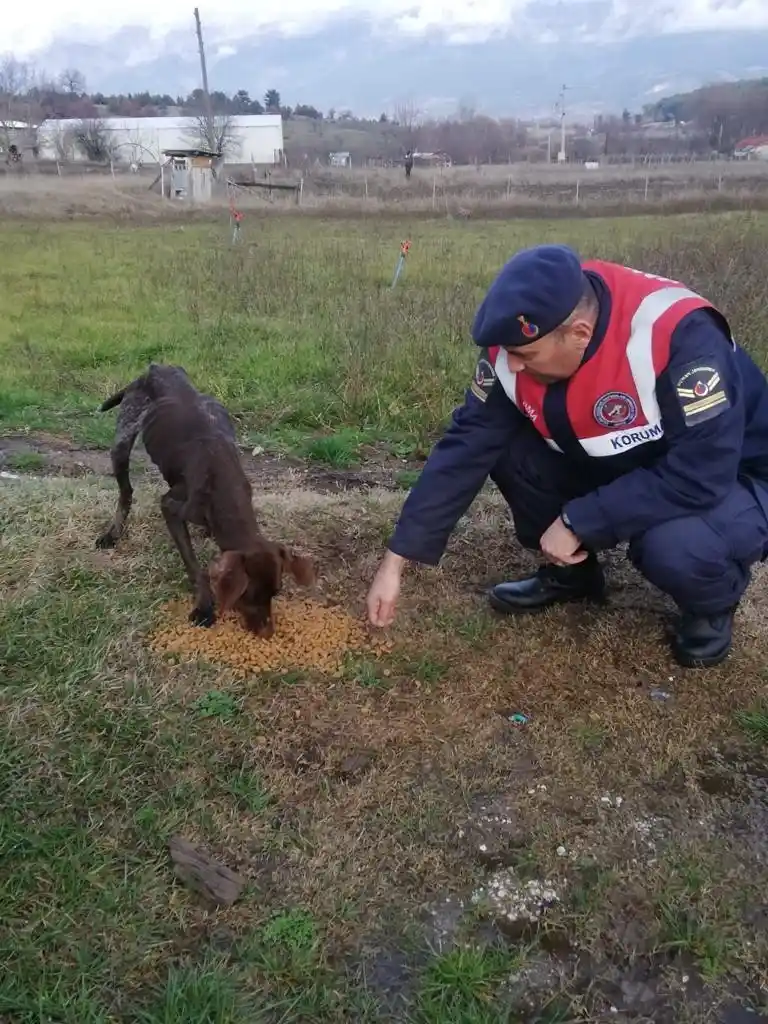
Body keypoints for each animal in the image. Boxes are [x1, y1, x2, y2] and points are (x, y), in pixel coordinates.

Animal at [96, 360, 315, 630]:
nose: (268, 632)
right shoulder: (170, 506)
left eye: (275, 592)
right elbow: (195, 566)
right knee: (126, 492)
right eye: (249, 595)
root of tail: (157, 367)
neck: (223, 486)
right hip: (122, 441)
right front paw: (204, 605)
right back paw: (113, 533)